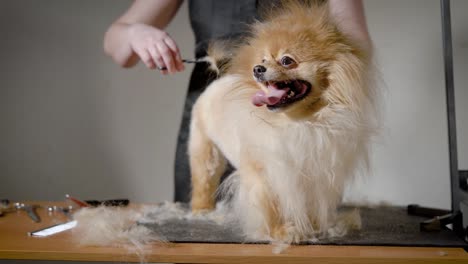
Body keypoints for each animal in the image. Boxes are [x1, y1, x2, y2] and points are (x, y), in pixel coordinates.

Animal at [188, 1, 374, 242]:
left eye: (287, 60)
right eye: (262, 60)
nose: (257, 69)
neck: (299, 122)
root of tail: (216, 84)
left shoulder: (313, 171)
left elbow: (310, 204)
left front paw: (313, 227)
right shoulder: (267, 172)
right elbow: (272, 205)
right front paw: (282, 231)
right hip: (205, 151)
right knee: (203, 179)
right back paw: (201, 209)